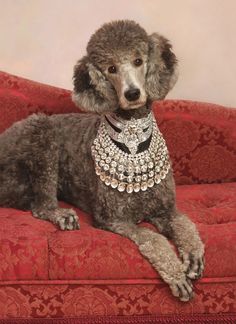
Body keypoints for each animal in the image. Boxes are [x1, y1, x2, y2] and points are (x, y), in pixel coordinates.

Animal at [0, 21, 204, 302]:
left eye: (138, 60)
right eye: (111, 69)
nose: (132, 93)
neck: (132, 141)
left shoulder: (166, 210)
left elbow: (186, 225)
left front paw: (193, 255)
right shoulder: (112, 219)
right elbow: (152, 238)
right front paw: (176, 274)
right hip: (41, 133)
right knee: (40, 206)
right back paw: (61, 214)